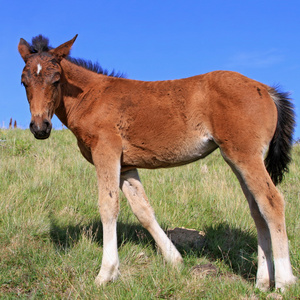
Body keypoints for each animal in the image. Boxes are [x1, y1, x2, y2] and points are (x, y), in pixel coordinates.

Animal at [17, 34, 296, 290]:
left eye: (56, 79)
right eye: (24, 82)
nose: (40, 127)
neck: (91, 97)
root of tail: (267, 89)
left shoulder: (106, 152)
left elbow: (108, 206)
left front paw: (106, 273)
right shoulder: (126, 165)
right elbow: (143, 210)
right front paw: (175, 260)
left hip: (245, 156)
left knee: (272, 203)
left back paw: (284, 282)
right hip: (238, 159)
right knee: (257, 210)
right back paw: (262, 282)